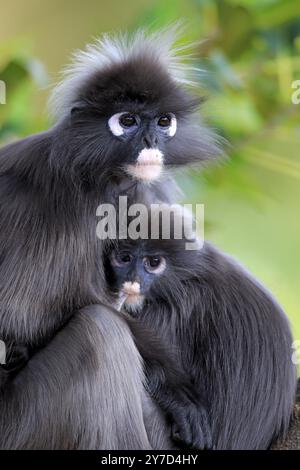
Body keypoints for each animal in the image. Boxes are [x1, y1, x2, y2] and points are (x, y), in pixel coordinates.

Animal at [0, 28, 219, 448]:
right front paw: (175, 386)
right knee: (99, 333)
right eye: (128, 120)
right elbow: (20, 314)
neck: (103, 178)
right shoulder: (61, 205)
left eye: (163, 121)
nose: (151, 140)